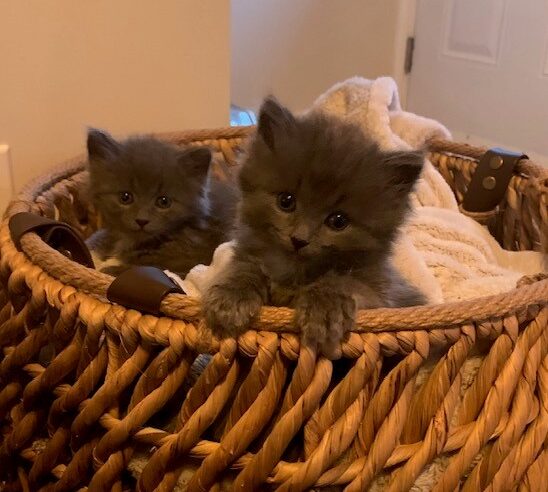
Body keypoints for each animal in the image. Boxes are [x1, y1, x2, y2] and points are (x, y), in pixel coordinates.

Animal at [86, 129, 237, 276]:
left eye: (164, 201)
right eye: (125, 197)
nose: (142, 220)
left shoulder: (194, 261)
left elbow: (149, 266)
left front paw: (110, 269)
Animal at [203, 97, 426, 358]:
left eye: (338, 221)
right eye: (286, 201)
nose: (299, 239)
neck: (294, 272)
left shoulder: (382, 297)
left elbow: (343, 281)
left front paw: (325, 308)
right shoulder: (247, 255)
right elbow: (244, 269)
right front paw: (230, 297)